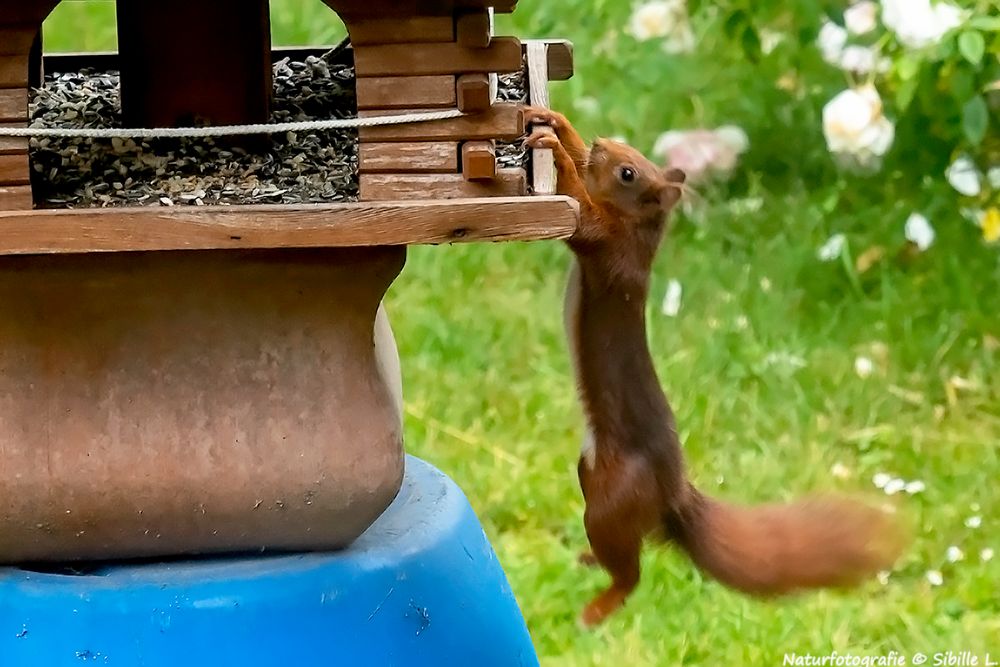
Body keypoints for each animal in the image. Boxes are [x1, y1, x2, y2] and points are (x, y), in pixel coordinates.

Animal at [524, 107, 908, 628]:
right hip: (591, 475)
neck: (641, 230)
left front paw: (559, 152)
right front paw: (559, 126)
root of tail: (673, 496)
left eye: (629, 173)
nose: (603, 144)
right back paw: (589, 562)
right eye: (623, 153)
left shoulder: (607, 244)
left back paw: (600, 606)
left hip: (612, 497)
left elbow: (582, 210)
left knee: (629, 572)